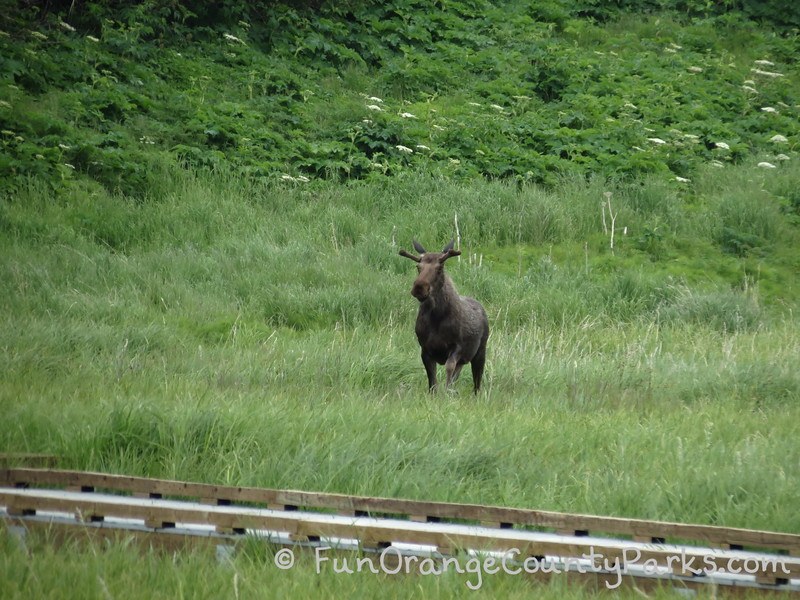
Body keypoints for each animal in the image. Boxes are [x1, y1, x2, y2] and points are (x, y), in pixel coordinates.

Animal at [398, 239, 488, 394]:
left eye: (439, 268)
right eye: (418, 267)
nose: (419, 287)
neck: (436, 317)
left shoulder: (457, 346)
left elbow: (449, 368)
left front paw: (447, 393)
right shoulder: (425, 349)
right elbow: (432, 380)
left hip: (480, 351)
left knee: (477, 382)